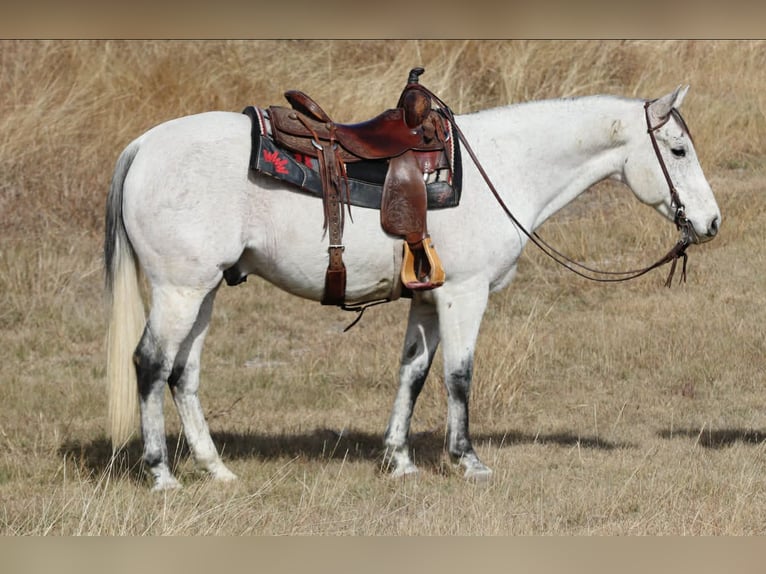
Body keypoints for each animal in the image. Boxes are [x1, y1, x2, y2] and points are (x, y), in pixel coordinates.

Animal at [105, 85, 721, 490]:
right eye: (679, 150)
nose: (711, 222)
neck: (504, 167)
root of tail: (143, 147)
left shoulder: (427, 298)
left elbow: (414, 374)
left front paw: (398, 460)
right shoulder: (464, 294)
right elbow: (459, 376)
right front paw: (467, 460)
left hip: (203, 291)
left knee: (183, 373)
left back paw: (216, 469)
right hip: (180, 291)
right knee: (150, 364)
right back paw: (161, 475)